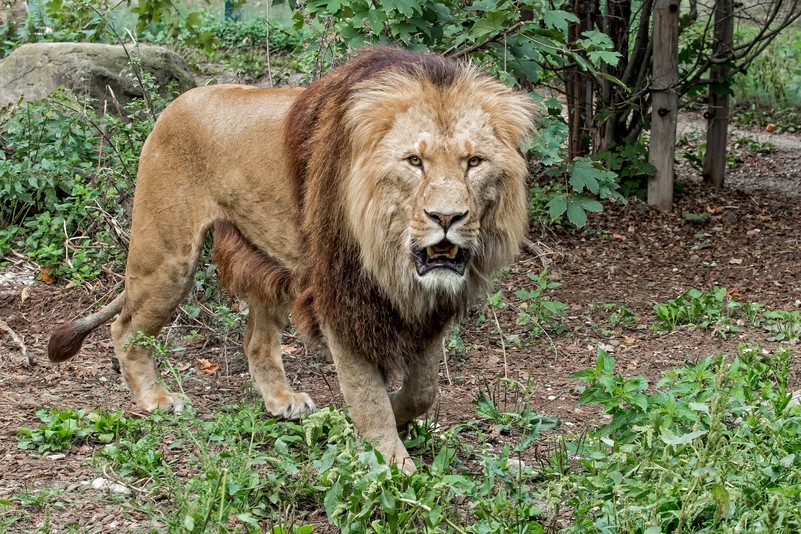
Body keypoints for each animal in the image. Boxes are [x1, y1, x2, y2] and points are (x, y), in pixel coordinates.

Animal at [50, 45, 536, 474]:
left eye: (474, 161)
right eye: (414, 161)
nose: (447, 217)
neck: (391, 255)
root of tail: (176, 103)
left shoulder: (427, 309)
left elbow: (423, 388)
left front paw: (399, 415)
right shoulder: (341, 294)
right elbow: (367, 394)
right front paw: (392, 466)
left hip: (267, 259)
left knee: (256, 341)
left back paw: (281, 401)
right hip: (167, 260)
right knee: (124, 328)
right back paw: (156, 400)